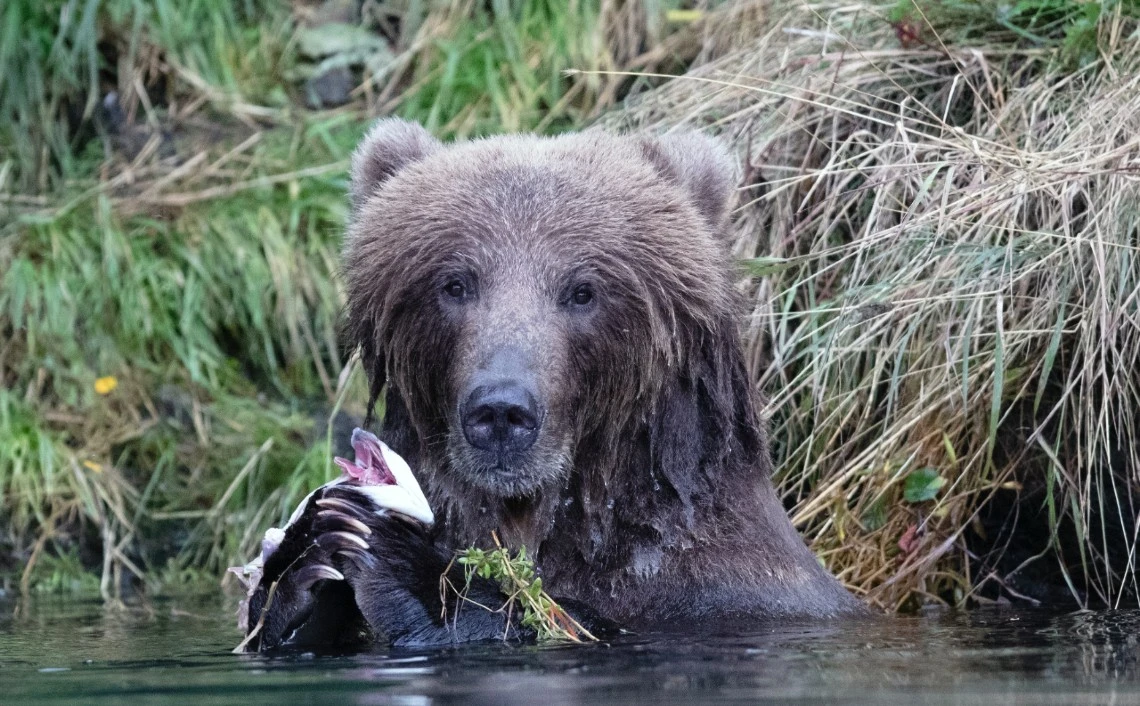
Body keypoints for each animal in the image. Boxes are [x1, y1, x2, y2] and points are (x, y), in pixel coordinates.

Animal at [242, 117, 861, 652]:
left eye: (583, 290)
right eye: (454, 282)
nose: (500, 411)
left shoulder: (723, 590)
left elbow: (560, 618)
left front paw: (397, 558)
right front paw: (301, 566)